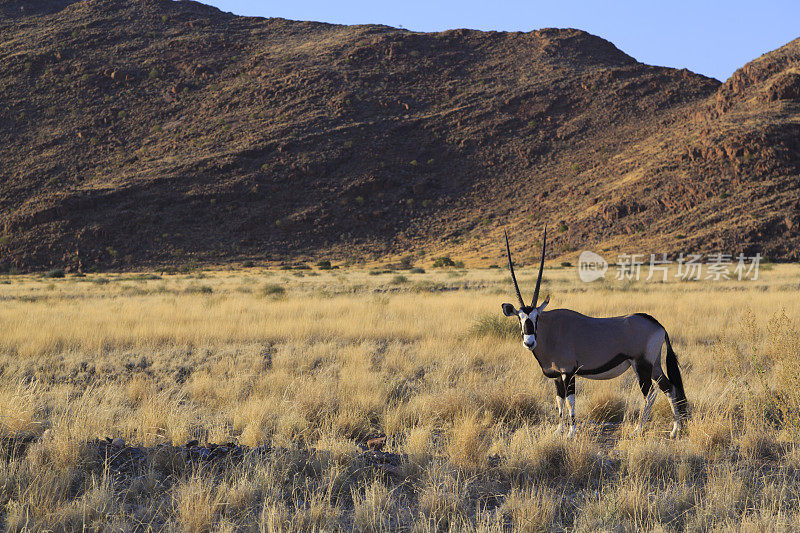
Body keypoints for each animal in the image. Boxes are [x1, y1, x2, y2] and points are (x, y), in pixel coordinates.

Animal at [504, 229, 684, 436]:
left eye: (536, 317)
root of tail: (658, 325)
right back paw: (675, 430)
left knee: (650, 394)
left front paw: (571, 432)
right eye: (519, 318)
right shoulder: (556, 376)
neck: (550, 332)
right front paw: (558, 431)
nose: (529, 342)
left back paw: (638, 430)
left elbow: (570, 401)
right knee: (669, 388)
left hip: (642, 365)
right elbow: (559, 401)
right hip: (654, 365)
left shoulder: (569, 372)